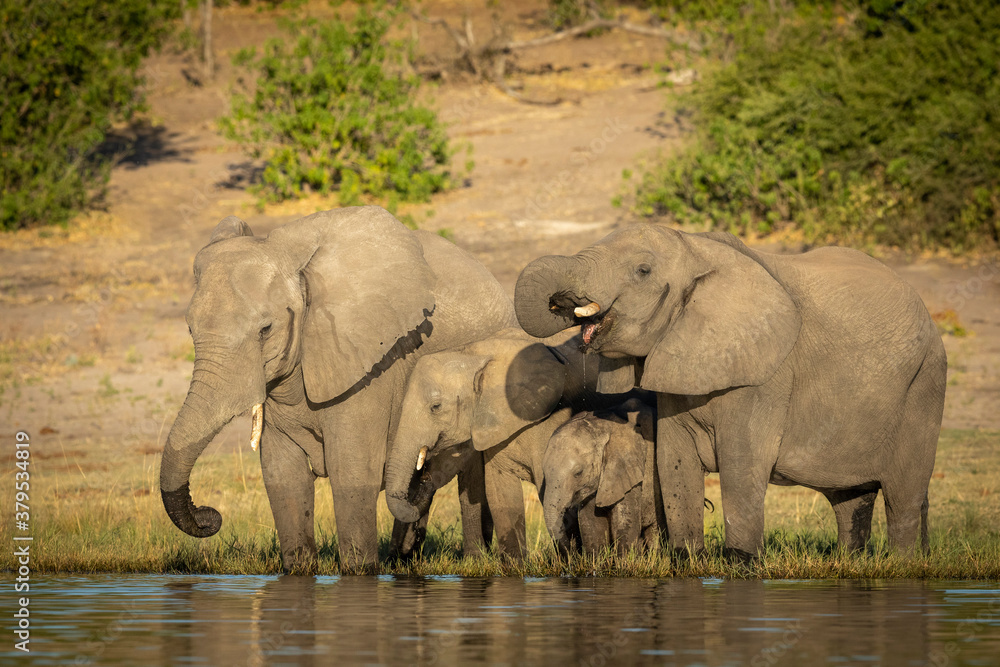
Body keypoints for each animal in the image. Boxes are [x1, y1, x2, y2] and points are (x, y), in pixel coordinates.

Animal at [159, 206, 516, 572]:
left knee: (470, 474)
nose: (210, 516)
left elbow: (352, 473)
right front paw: (299, 572)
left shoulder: (369, 369)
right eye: (190, 329)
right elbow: (284, 477)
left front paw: (360, 573)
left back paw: (473, 563)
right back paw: (401, 562)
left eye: (265, 329)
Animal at [385, 328, 641, 557]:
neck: (472, 353)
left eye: (435, 407)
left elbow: (551, 487)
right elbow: (501, 493)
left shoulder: (549, 419)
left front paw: (570, 562)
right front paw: (514, 567)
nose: (424, 479)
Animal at [542, 398, 664, 556]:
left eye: (578, 473)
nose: (572, 554)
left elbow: (625, 522)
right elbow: (591, 525)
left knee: (654, 532)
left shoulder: (628, 472)